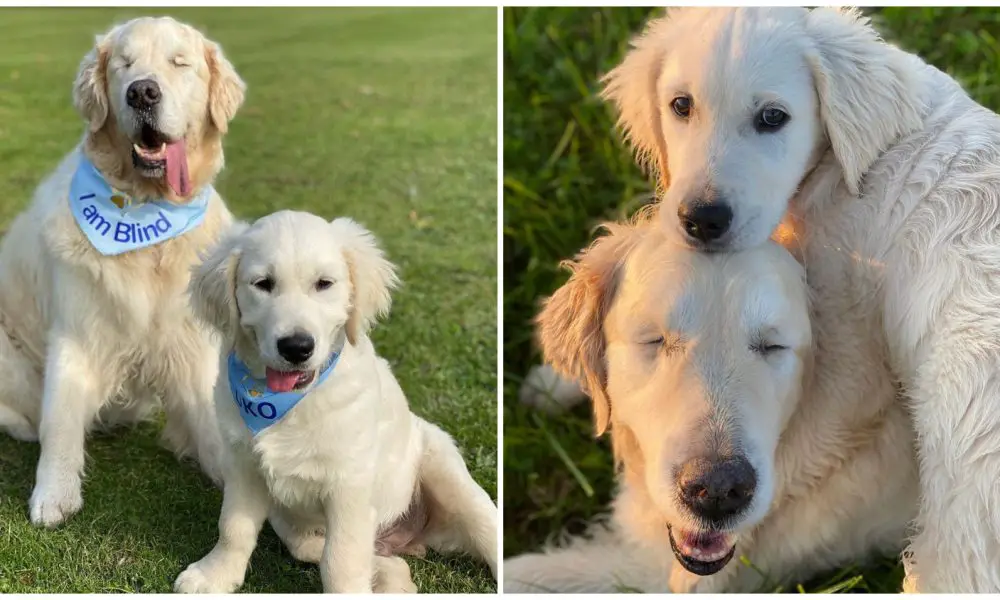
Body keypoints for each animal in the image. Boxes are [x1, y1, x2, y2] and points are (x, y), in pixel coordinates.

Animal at [0, 16, 245, 528]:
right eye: (124, 65)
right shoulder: (75, 332)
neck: (143, 217)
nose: (143, 93)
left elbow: (211, 424)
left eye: (179, 63)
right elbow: (61, 417)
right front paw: (53, 494)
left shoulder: (190, 343)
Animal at [176, 212, 500, 596]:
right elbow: (234, 527)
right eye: (263, 284)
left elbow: (341, 556)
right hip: (291, 521)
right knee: (359, 555)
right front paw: (215, 574)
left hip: (446, 472)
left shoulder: (350, 484)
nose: (296, 347)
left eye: (324, 284)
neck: (290, 402)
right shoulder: (243, 466)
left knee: (486, 527)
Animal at [504, 210, 916, 592]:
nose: (718, 490)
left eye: (772, 346)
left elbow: (527, 574)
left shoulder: (661, 576)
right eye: (655, 340)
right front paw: (550, 382)